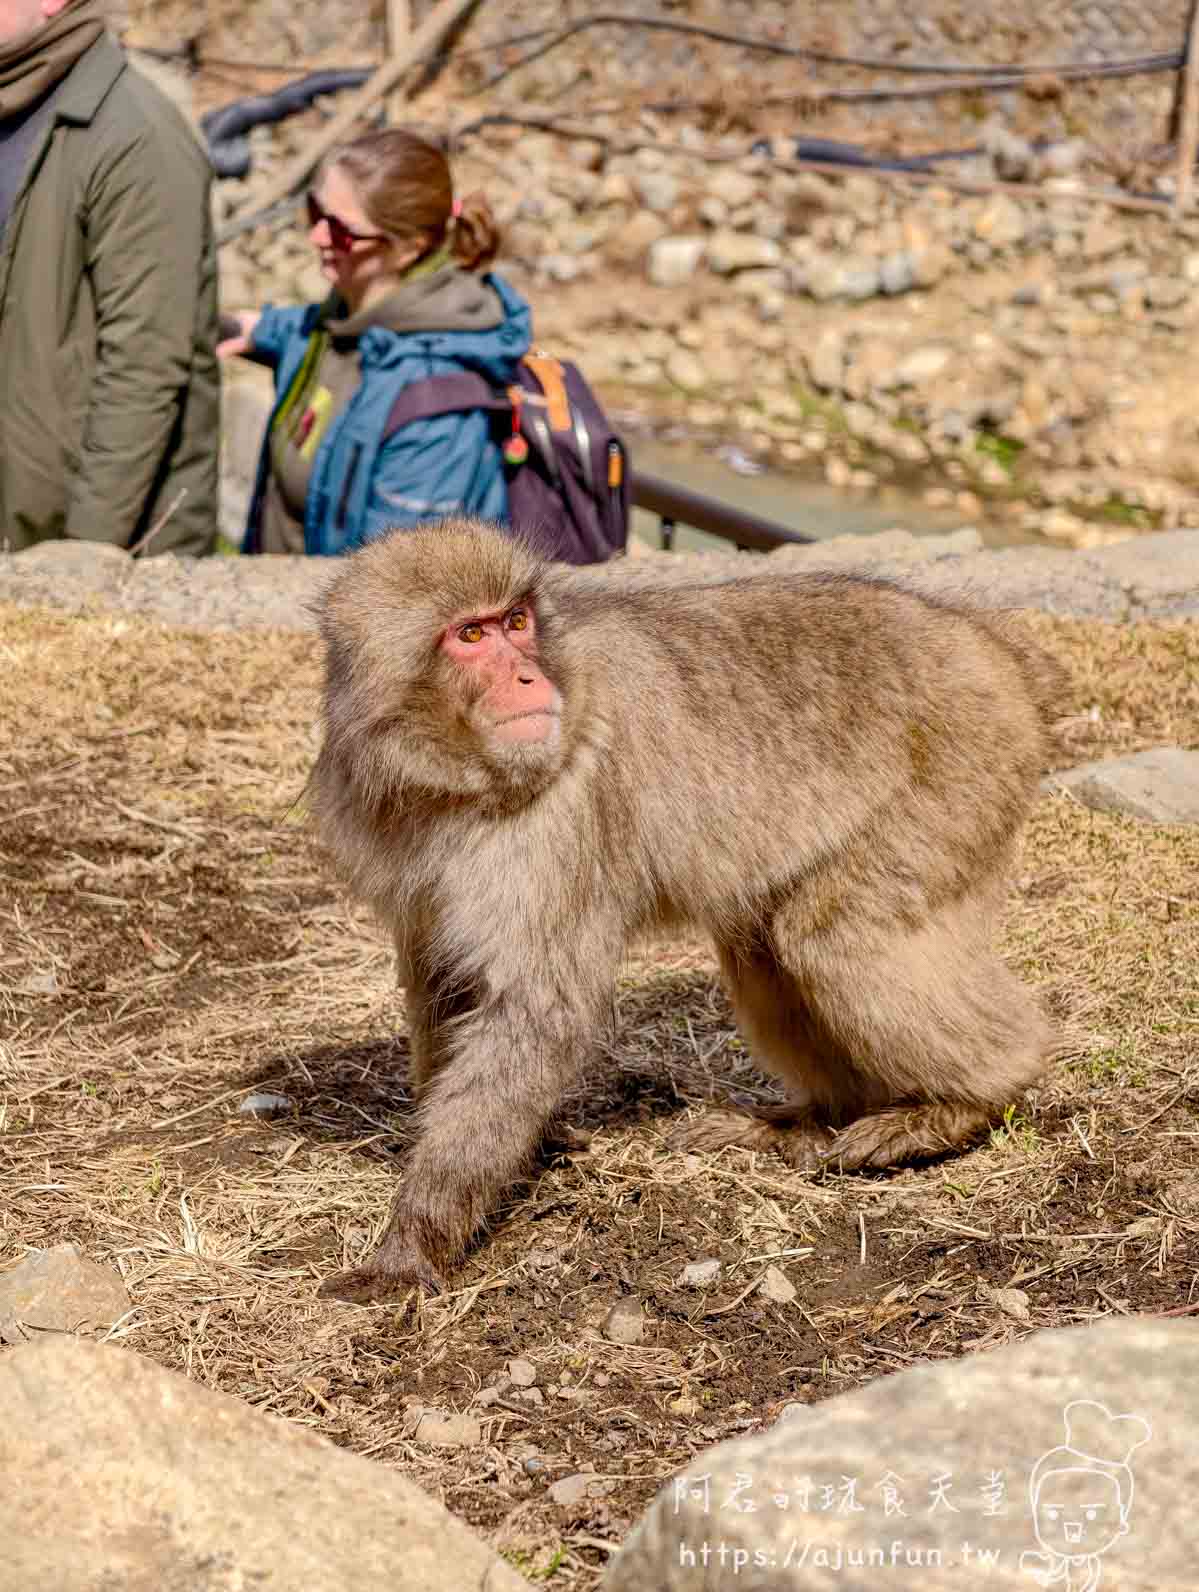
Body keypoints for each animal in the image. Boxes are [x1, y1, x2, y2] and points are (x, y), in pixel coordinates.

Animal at [307, 518, 1065, 1303]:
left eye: (515, 623)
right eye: (471, 635)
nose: (527, 677)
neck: (455, 781)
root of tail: (989, 648)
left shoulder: (556, 827)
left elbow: (538, 1011)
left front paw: (416, 1238)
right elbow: (441, 982)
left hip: (961, 771)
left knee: (834, 937)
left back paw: (968, 1100)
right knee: (765, 947)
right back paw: (812, 1119)